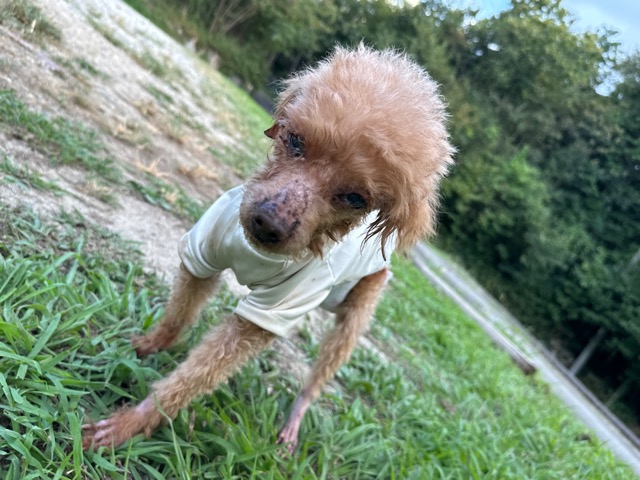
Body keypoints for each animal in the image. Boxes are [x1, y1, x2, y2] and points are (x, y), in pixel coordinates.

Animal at [82, 44, 454, 452]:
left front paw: (132, 421)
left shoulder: (267, 315)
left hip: (358, 310)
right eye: (295, 140)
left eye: (356, 198)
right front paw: (151, 344)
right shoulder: (202, 254)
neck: (255, 252)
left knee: (323, 368)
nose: (268, 222)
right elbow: (178, 314)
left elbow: (195, 377)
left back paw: (295, 419)